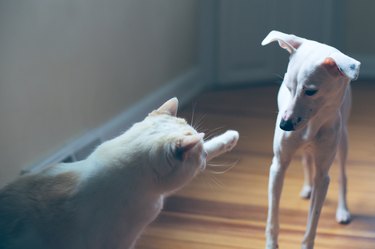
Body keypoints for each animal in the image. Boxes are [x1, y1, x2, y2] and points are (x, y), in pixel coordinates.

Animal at [262, 31, 362, 249]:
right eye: (287, 87)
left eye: (311, 91)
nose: (284, 125)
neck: (312, 125)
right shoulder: (278, 166)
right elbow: (273, 216)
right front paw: (272, 243)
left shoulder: (323, 176)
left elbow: (313, 221)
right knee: (306, 159)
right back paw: (307, 188)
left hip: (343, 141)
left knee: (342, 175)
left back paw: (342, 210)